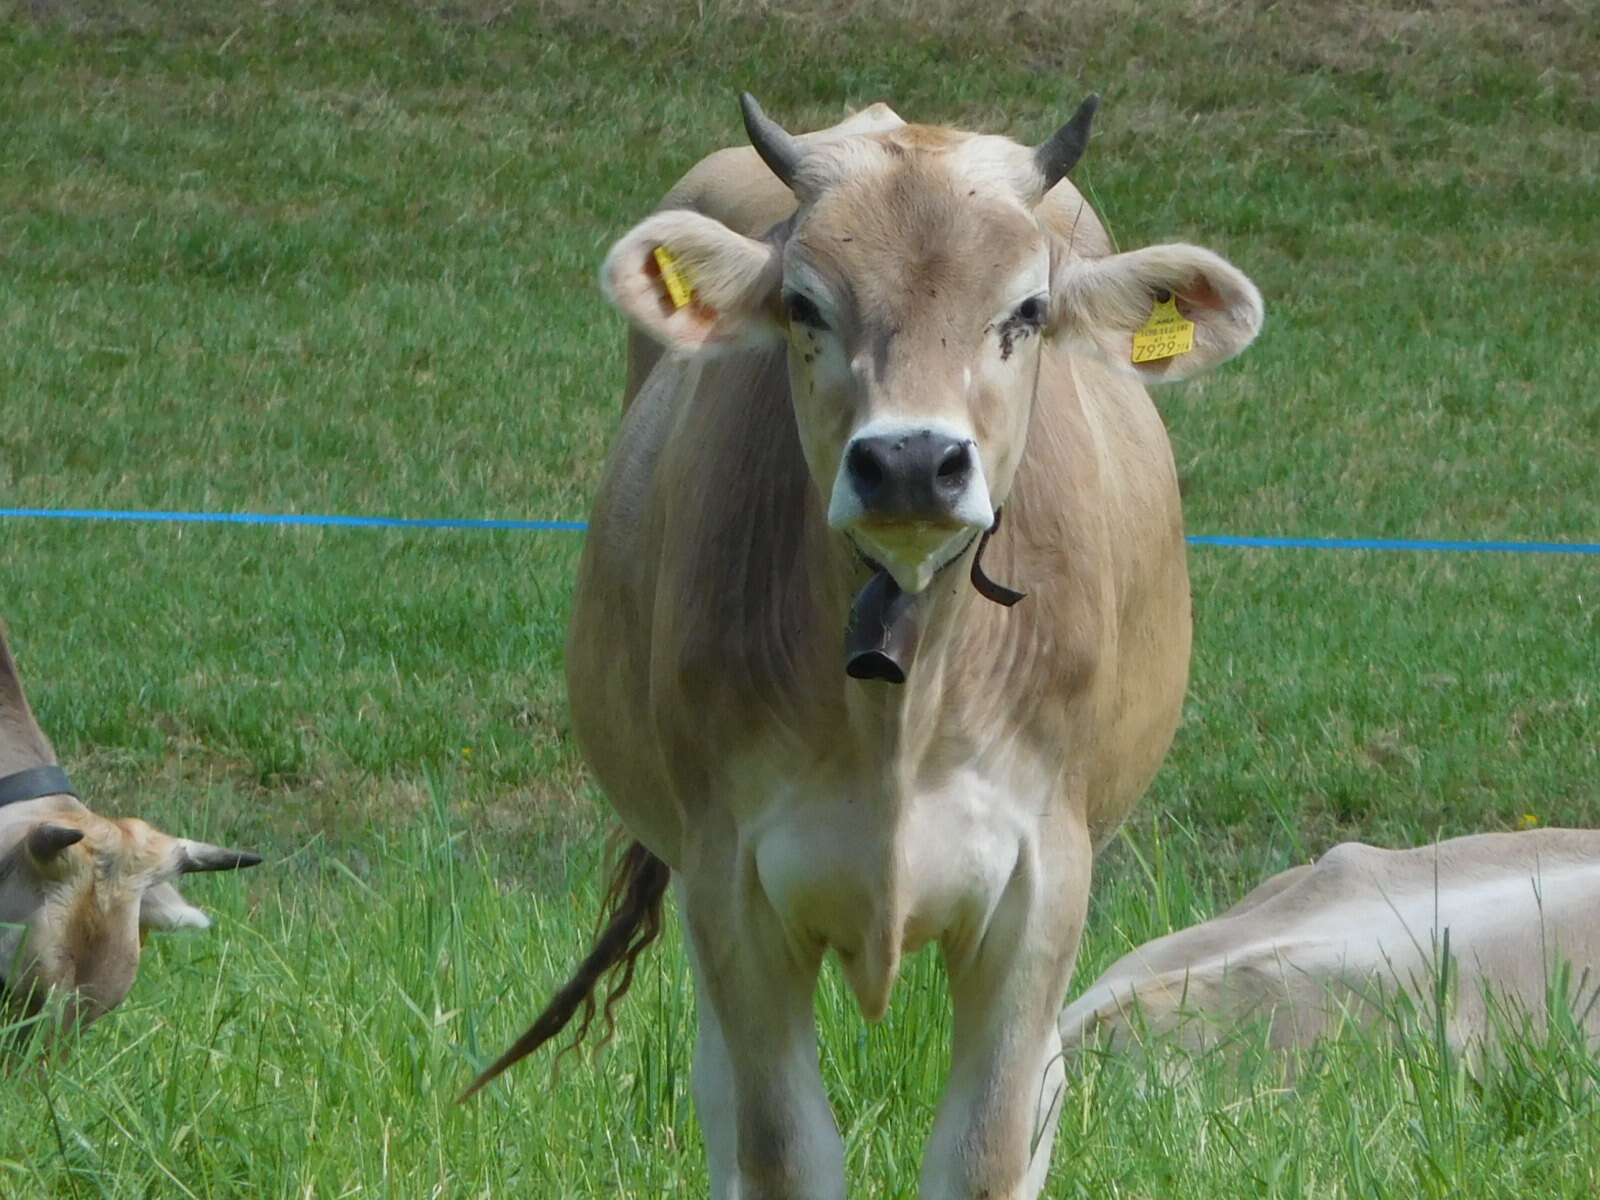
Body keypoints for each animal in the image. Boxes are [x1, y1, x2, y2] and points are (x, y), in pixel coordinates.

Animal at [467, 95, 1264, 1199]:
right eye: (804, 306)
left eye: (1027, 311)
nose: (911, 461)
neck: (903, 703)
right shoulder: (732, 881)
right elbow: (779, 1147)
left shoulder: (1042, 880)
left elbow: (989, 1147)